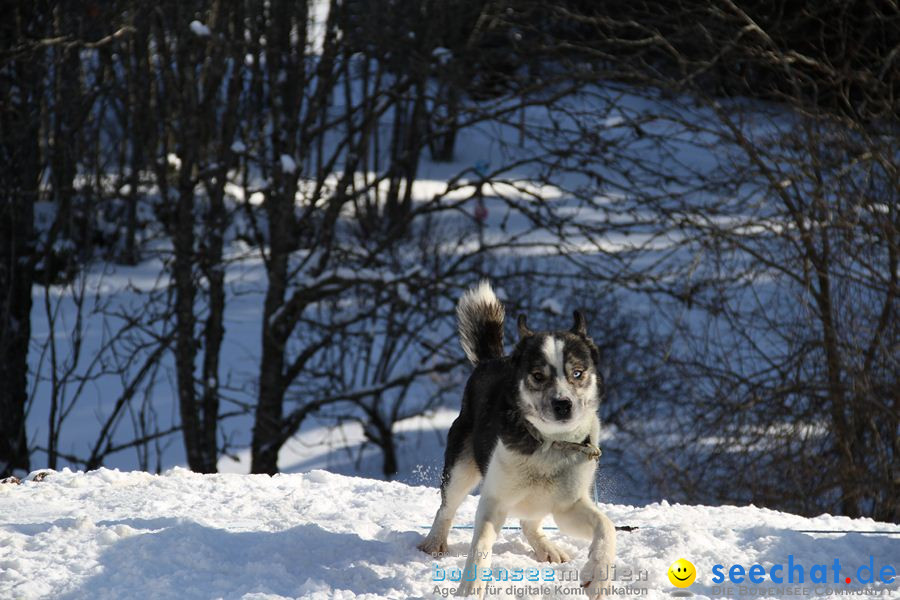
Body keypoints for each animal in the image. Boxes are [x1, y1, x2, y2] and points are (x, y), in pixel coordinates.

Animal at [418, 282, 616, 600]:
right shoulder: (494, 500)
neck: (549, 444)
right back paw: (435, 541)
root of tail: (490, 362)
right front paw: (471, 587)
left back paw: (546, 547)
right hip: (461, 468)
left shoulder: (568, 506)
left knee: (529, 522)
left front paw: (598, 575)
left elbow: (606, 526)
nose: (563, 404)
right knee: (446, 508)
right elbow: (480, 546)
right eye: (537, 375)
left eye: (577, 373)